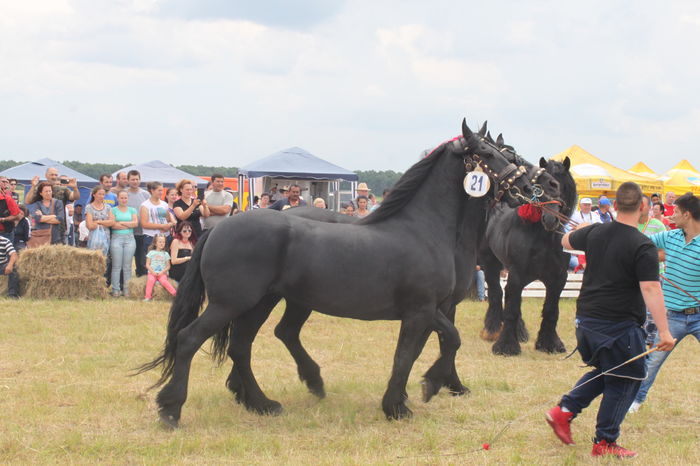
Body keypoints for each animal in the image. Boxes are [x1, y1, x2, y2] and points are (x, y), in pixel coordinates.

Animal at [136, 119, 537, 427]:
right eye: (489, 154)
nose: (529, 187)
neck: (424, 229)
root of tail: (218, 229)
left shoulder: (431, 310)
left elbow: (437, 345)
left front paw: (426, 387)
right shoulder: (420, 310)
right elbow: (416, 351)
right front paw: (402, 403)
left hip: (261, 303)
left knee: (242, 346)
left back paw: (264, 402)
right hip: (231, 303)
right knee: (190, 339)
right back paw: (171, 410)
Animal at [478, 155, 576, 356]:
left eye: (563, 186)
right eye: (539, 187)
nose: (550, 219)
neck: (543, 238)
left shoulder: (558, 279)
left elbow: (551, 310)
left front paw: (550, 344)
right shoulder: (516, 274)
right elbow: (511, 309)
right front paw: (506, 346)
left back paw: (520, 332)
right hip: (490, 264)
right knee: (496, 293)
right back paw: (492, 330)